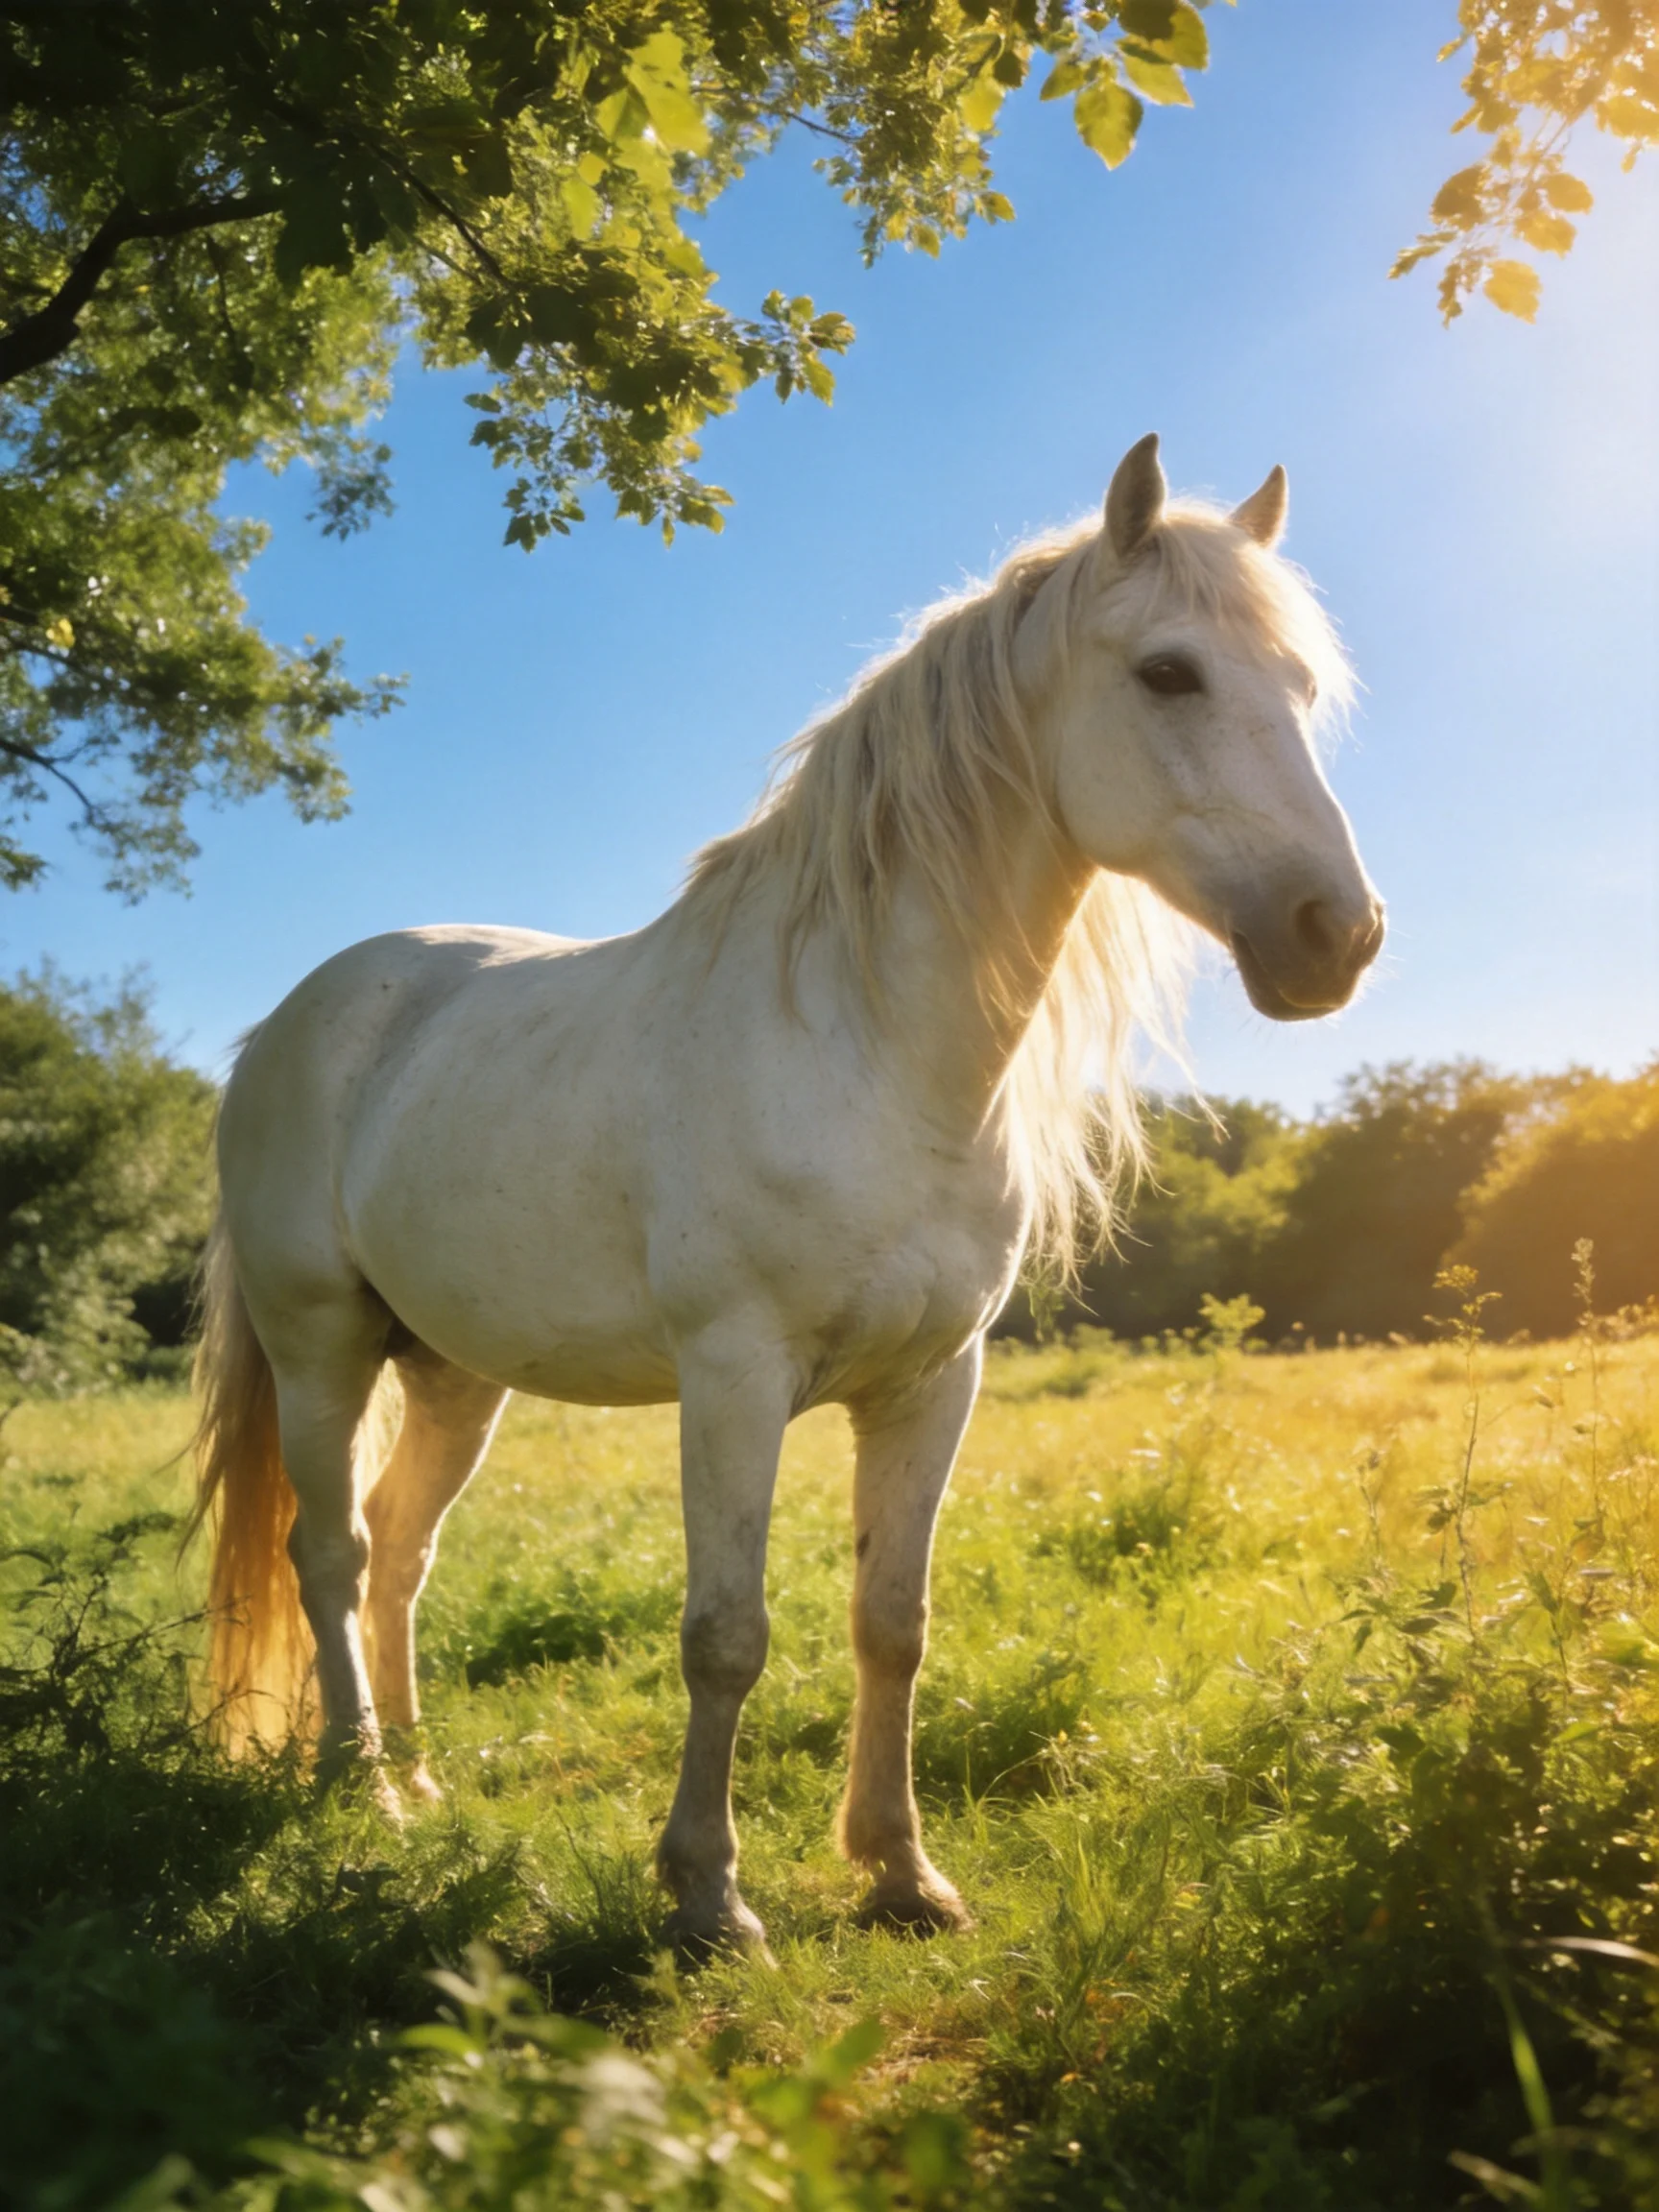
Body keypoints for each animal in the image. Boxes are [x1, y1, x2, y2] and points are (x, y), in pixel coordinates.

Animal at [191, 434, 1383, 1957]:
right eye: (1168, 671)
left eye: (1302, 689)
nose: (1336, 935)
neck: (865, 1049)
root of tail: (293, 1020)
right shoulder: (734, 1376)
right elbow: (727, 1634)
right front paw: (709, 1895)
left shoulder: (935, 1382)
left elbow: (893, 1622)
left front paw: (901, 1873)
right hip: (322, 1345)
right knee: (330, 1555)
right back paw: (363, 1791)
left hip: (455, 1371)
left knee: (401, 1553)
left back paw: (423, 1773)